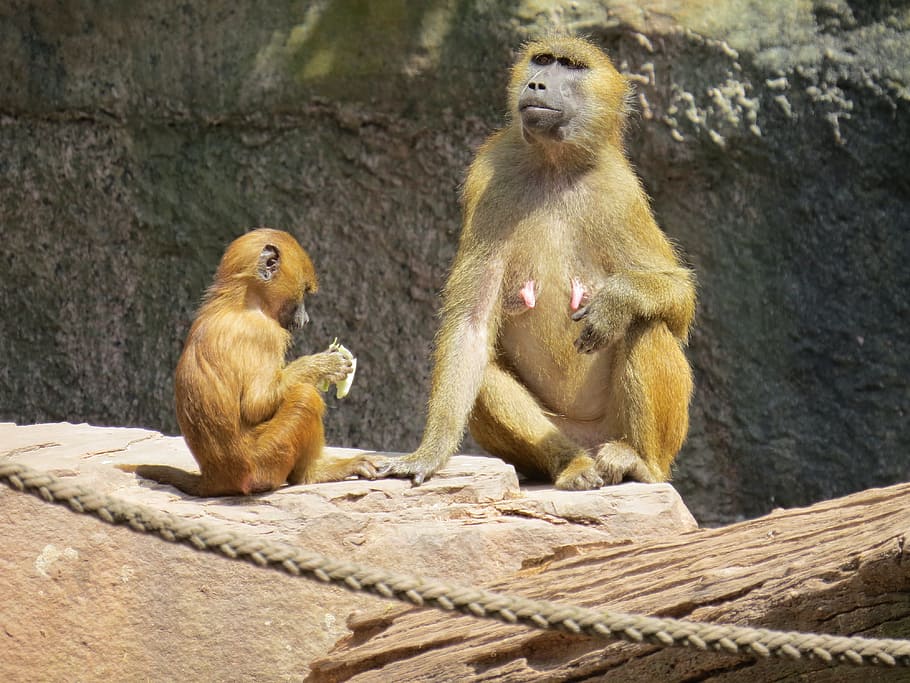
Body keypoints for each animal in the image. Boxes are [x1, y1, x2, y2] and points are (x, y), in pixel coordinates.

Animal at [119, 228, 379, 496]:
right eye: (304, 292)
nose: (306, 319)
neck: (240, 300)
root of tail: (215, 478)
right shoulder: (264, 333)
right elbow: (256, 404)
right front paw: (325, 365)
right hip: (264, 463)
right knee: (305, 397)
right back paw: (312, 474)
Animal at [380, 36, 695, 490]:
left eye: (572, 66)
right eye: (543, 60)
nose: (538, 84)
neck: (553, 165)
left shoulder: (621, 192)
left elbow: (679, 299)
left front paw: (614, 303)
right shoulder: (490, 179)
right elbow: (470, 326)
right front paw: (430, 453)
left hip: (622, 430)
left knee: (646, 326)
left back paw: (639, 463)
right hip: (560, 432)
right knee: (486, 374)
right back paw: (572, 465)